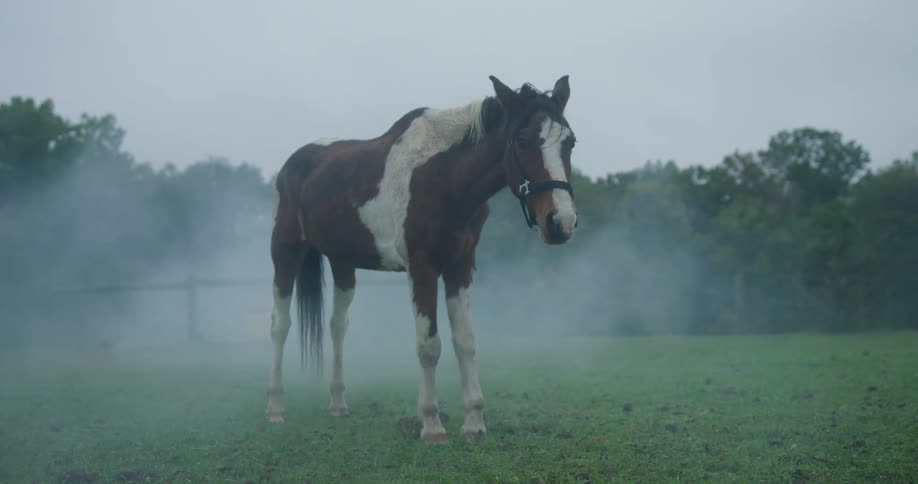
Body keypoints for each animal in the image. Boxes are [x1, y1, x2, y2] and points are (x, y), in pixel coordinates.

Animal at [266, 75, 579, 443]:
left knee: (337, 326)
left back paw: (338, 403)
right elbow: (429, 345)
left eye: (570, 142)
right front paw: (431, 424)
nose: (561, 222)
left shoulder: (461, 265)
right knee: (280, 325)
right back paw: (275, 407)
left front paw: (474, 422)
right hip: (285, 253)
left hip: (343, 264)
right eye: (523, 140)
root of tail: (293, 163)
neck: (443, 176)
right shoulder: (422, 267)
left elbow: (465, 341)